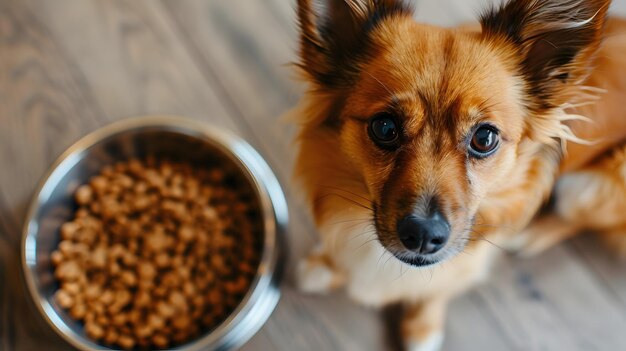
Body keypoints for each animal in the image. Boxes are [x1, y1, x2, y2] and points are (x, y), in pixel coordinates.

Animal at [288, 1, 624, 350]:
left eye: (484, 138)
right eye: (384, 128)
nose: (423, 236)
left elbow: (438, 289)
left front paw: (423, 328)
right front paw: (327, 266)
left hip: (595, 186)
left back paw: (531, 236)